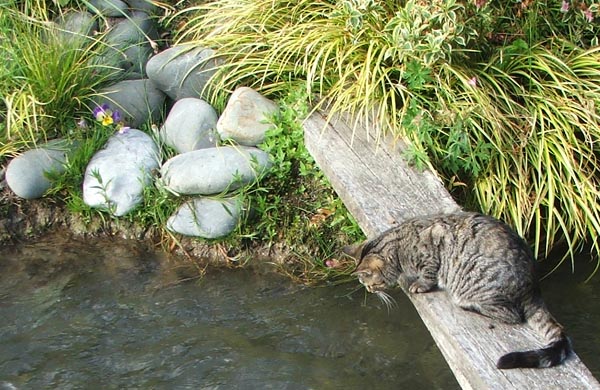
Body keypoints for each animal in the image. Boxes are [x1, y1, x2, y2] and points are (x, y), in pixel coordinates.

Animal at [342, 212, 572, 370]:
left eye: (371, 285)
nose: (370, 291)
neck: (399, 247)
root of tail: (533, 289)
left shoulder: (431, 253)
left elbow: (428, 274)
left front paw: (419, 283)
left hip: (478, 283)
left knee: (512, 315)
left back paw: (469, 306)